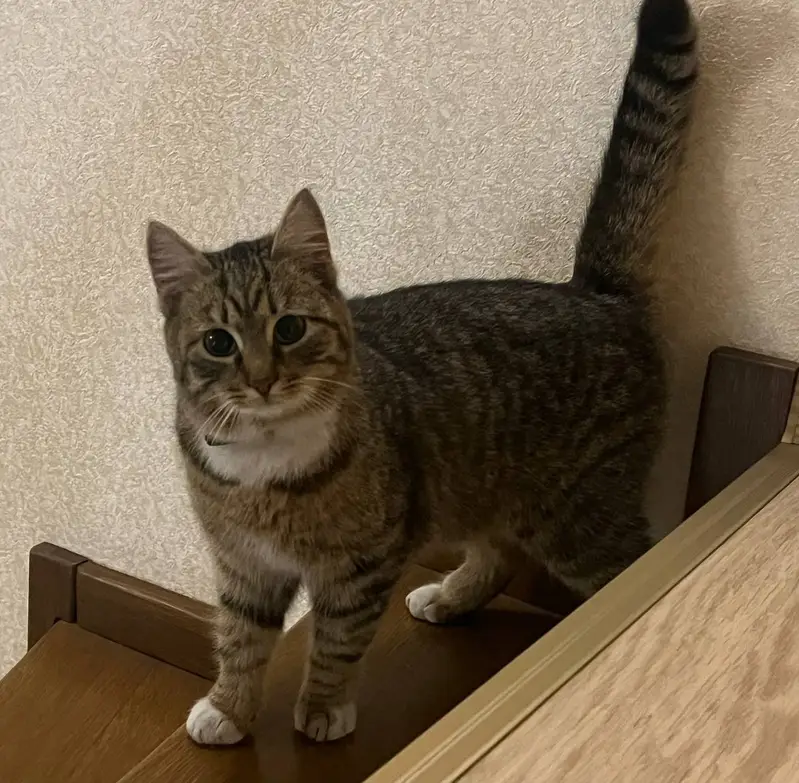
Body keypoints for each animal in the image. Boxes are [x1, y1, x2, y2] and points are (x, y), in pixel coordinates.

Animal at [145, 0, 697, 747]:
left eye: (288, 329)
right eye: (218, 342)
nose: (260, 379)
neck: (266, 460)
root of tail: (596, 293)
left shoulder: (363, 562)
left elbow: (336, 641)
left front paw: (322, 707)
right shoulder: (244, 563)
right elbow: (240, 637)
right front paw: (229, 706)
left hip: (579, 514)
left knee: (636, 559)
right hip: (478, 484)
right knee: (496, 555)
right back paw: (453, 594)